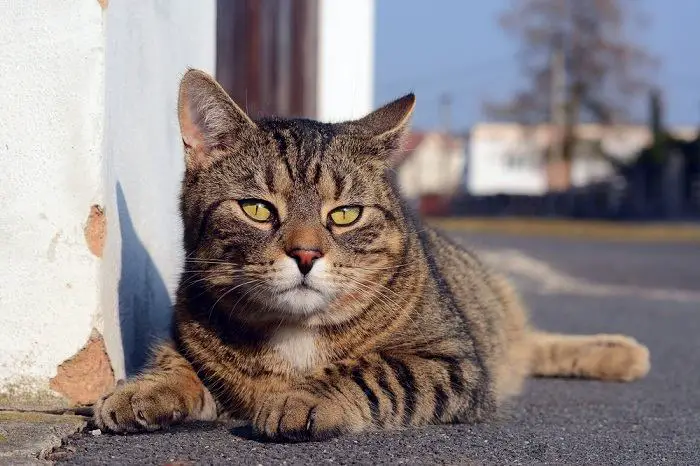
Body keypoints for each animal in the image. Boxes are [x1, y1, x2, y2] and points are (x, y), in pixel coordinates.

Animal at [93, 69, 652, 440]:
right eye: (256, 209)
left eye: (345, 214)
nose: (305, 254)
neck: (294, 333)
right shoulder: (183, 339)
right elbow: (175, 365)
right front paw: (142, 391)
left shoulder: (453, 361)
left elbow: (374, 371)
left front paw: (306, 396)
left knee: (532, 342)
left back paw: (622, 352)